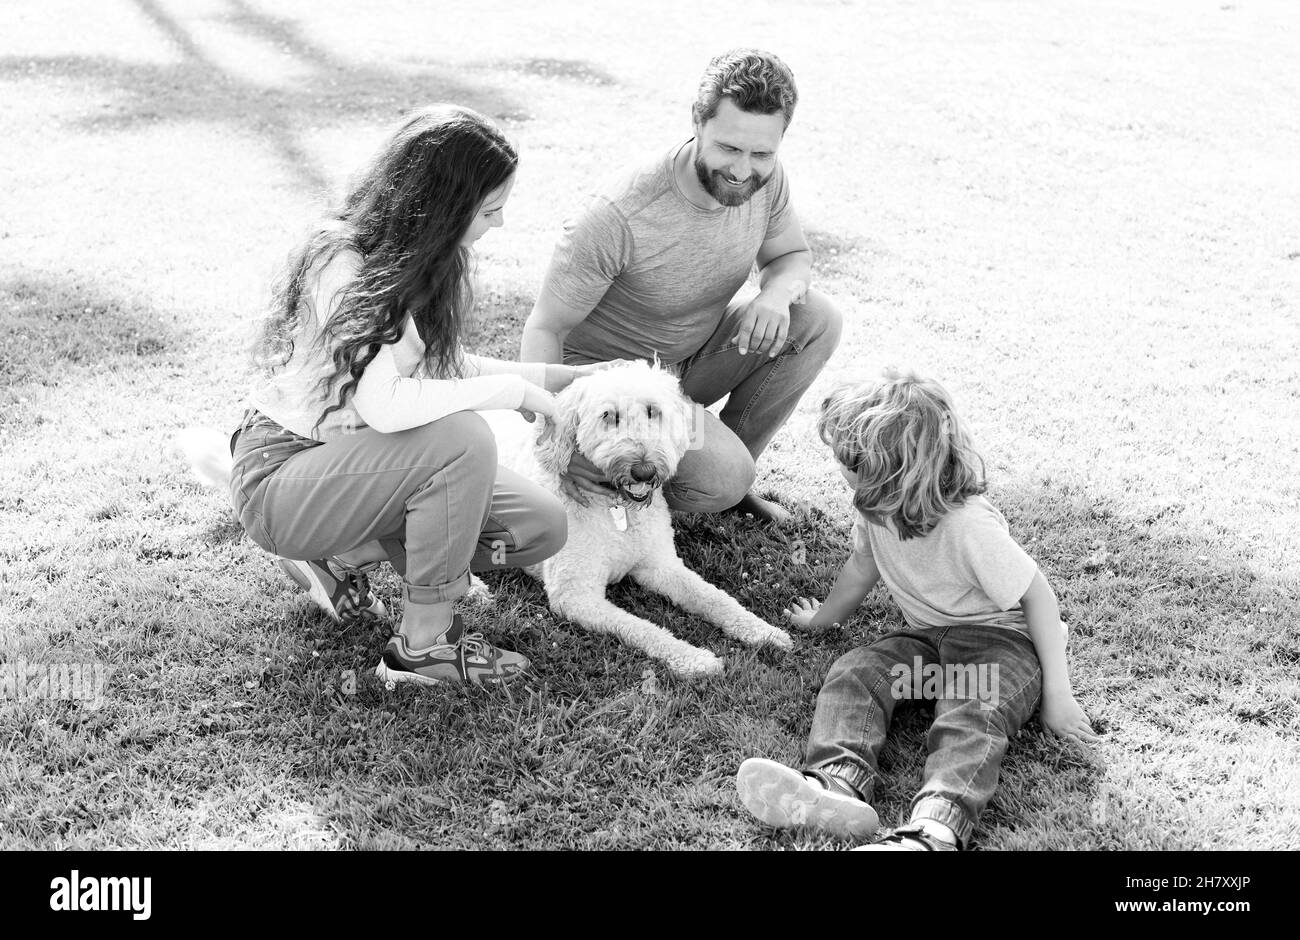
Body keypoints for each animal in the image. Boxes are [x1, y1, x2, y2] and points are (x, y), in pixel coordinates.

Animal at [506, 358, 790, 676]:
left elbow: (713, 597)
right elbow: (643, 629)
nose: (644, 471)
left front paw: (763, 630)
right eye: (609, 416)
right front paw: (694, 658)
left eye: (653, 411)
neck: (619, 511)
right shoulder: (575, 596)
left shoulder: (661, 566)